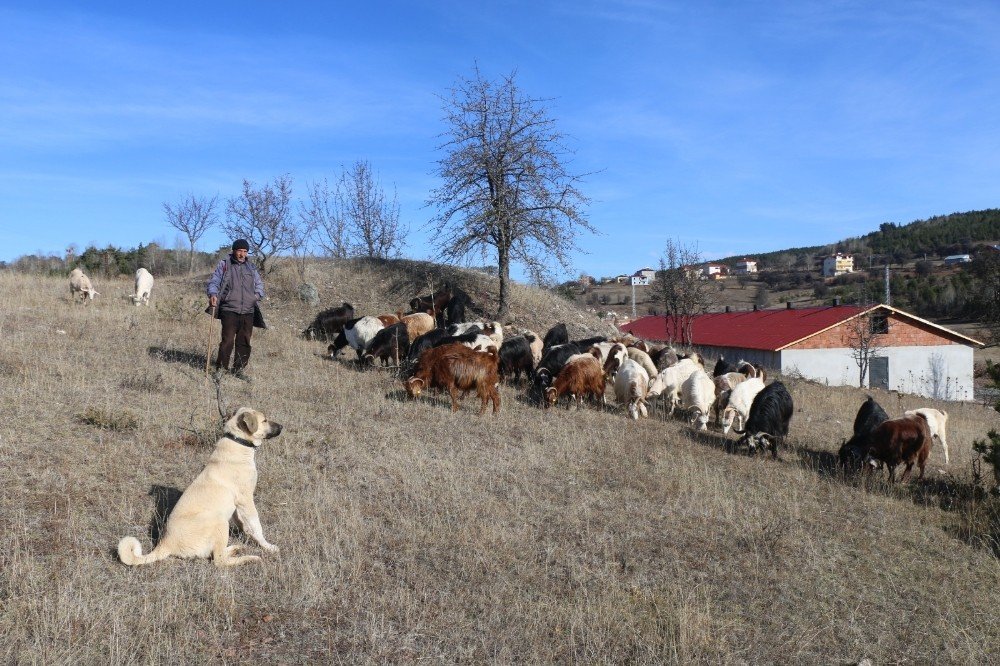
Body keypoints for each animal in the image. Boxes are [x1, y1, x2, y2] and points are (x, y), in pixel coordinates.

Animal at [118, 404, 282, 564]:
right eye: (264, 420)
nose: (282, 426)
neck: (237, 441)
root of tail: (165, 544)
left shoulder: (237, 505)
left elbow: (244, 524)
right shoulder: (246, 499)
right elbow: (256, 526)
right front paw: (268, 546)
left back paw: (236, 548)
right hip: (219, 521)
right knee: (219, 561)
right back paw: (249, 558)